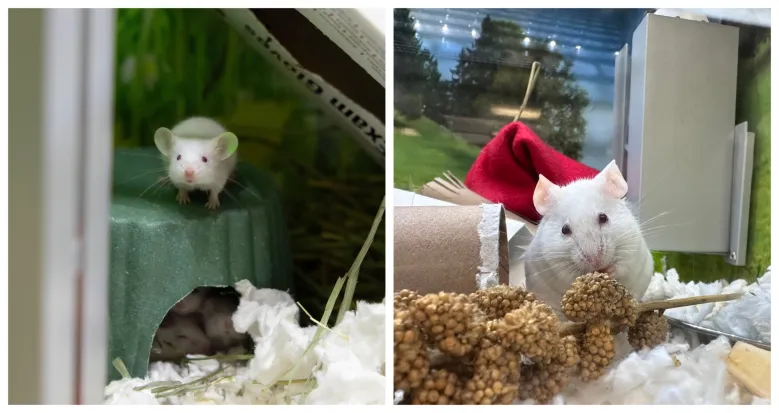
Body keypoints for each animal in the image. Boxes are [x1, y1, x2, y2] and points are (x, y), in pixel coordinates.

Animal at [523, 160, 654, 313]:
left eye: (603, 218)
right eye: (564, 229)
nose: (596, 262)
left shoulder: (630, 247)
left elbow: (622, 266)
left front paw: (609, 273)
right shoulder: (556, 264)